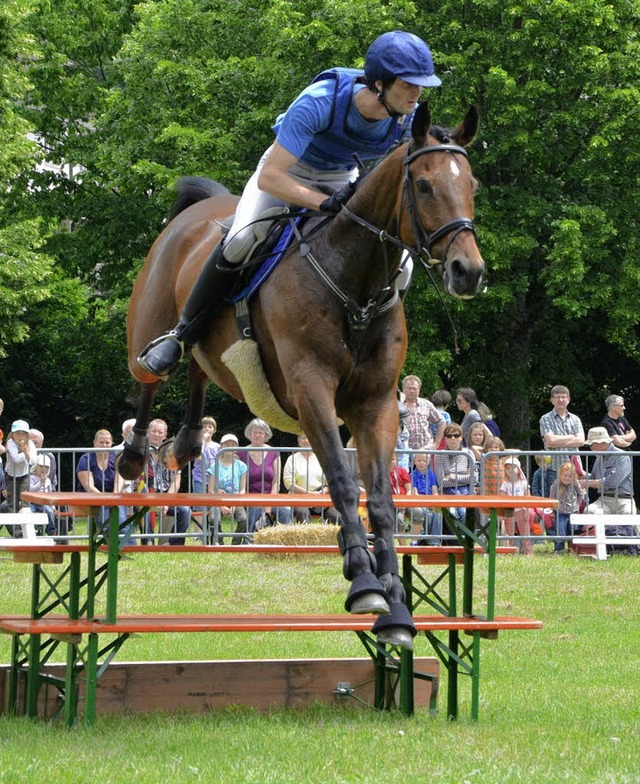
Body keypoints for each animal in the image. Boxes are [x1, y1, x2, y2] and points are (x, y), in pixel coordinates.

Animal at [119, 101, 484, 648]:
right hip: (150, 317)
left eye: (472, 185)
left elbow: (380, 497)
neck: (354, 279)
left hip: (212, 352)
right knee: (154, 372)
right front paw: (363, 581)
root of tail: (198, 210)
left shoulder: (376, 404)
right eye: (423, 185)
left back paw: (185, 442)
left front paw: (396, 602)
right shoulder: (312, 392)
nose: (468, 271)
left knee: (200, 369)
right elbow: (341, 479)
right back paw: (137, 452)